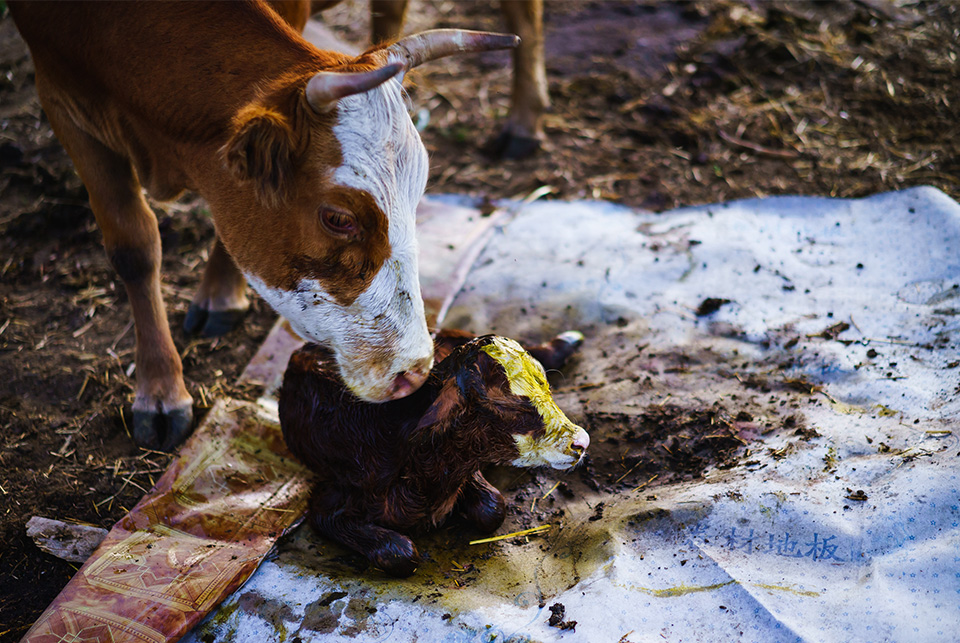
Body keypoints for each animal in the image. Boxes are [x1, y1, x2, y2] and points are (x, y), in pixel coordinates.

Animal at [9, 1, 516, 452]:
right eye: (338, 218)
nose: (414, 370)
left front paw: (219, 297)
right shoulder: (62, 101)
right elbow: (133, 247)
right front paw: (160, 392)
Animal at [282, 330, 588, 576]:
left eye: (547, 387)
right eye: (507, 407)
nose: (581, 442)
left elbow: (493, 507)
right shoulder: (326, 499)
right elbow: (402, 554)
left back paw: (567, 342)